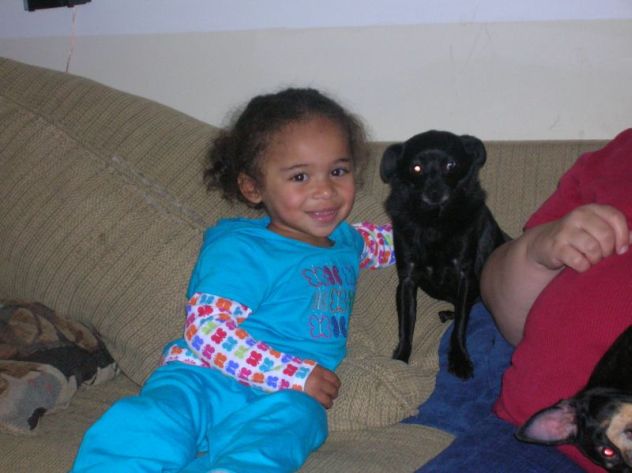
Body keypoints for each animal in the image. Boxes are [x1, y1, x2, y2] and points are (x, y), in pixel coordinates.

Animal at [380, 130, 508, 379]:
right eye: (416, 168)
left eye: (451, 165)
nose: (434, 192)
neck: (434, 220)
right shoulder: (407, 280)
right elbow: (406, 326)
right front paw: (400, 358)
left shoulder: (464, 276)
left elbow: (460, 325)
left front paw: (459, 359)